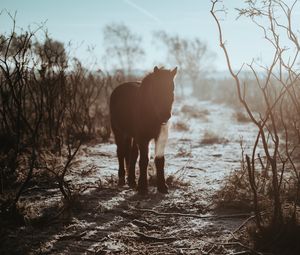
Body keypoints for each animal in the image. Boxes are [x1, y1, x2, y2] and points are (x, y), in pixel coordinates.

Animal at [109, 65, 176, 193]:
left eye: (172, 89)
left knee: (132, 154)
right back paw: (122, 179)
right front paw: (143, 187)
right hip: (119, 132)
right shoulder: (143, 138)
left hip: (132, 136)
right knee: (120, 152)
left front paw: (162, 186)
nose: (165, 115)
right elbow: (144, 160)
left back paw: (131, 180)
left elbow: (159, 160)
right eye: (156, 89)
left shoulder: (159, 137)